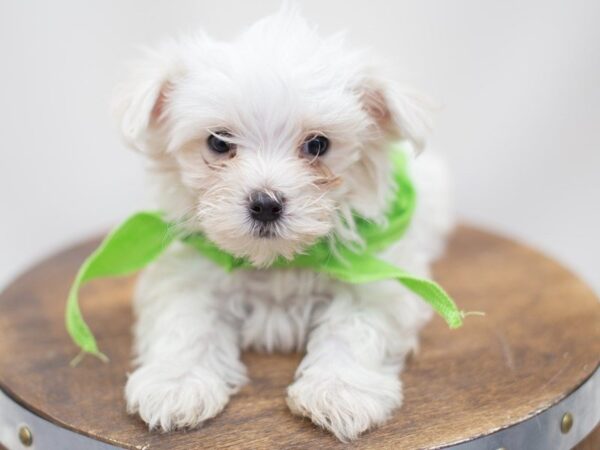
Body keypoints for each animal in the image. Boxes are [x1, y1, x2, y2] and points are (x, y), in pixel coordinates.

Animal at [113, 6, 450, 442]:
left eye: (318, 145)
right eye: (218, 142)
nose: (265, 204)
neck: (278, 263)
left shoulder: (379, 277)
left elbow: (354, 326)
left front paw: (339, 391)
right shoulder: (187, 273)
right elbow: (186, 322)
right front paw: (176, 384)